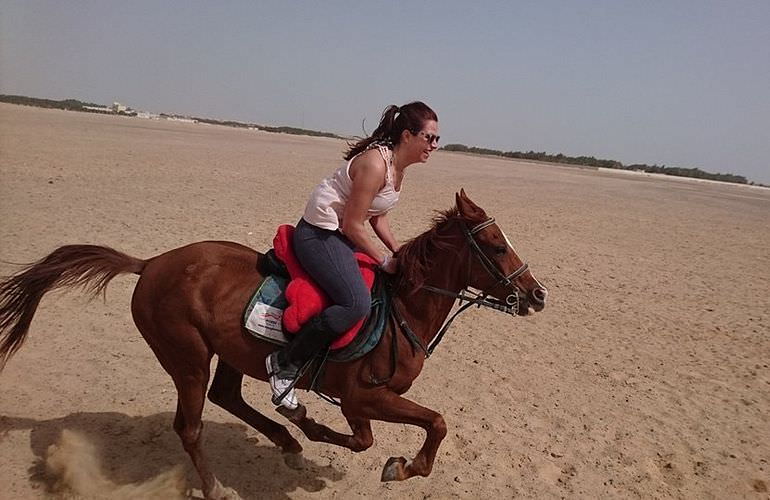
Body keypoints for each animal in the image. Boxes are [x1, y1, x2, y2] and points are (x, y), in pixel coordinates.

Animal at [0, 189, 544, 498]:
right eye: (497, 246)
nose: (537, 294)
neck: (402, 309)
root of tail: (151, 263)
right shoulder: (362, 396)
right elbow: (433, 423)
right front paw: (403, 466)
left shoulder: (358, 401)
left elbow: (367, 438)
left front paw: (313, 433)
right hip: (188, 359)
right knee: (190, 426)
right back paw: (217, 487)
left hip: (231, 352)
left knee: (227, 396)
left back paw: (288, 436)